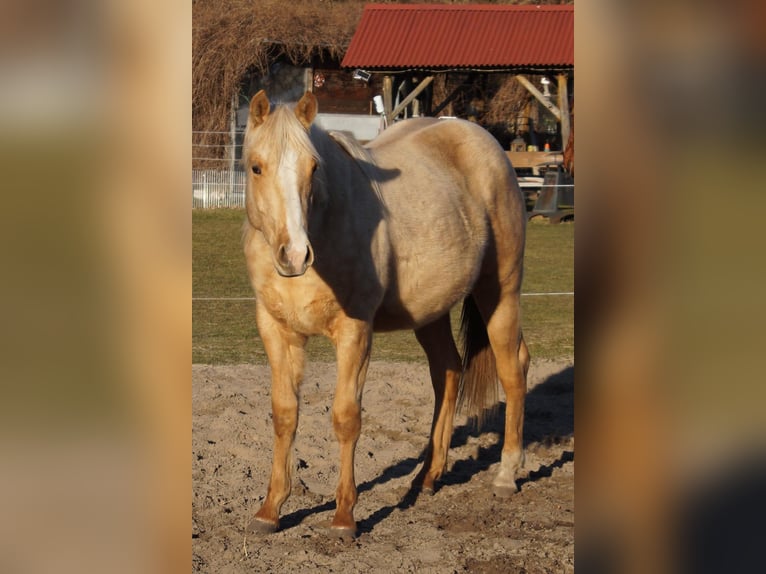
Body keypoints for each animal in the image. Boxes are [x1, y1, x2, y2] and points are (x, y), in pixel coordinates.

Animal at [243, 90, 532, 540]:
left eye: (313, 168)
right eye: (256, 167)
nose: (295, 255)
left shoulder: (355, 332)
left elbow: (346, 417)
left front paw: (344, 517)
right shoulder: (277, 332)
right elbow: (285, 414)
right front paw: (270, 510)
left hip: (500, 292)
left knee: (513, 369)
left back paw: (505, 475)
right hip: (431, 312)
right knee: (448, 372)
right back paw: (427, 477)